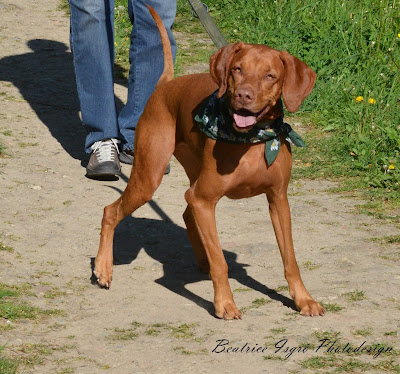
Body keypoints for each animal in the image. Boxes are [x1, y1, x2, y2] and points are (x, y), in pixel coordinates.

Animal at [94, 5, 324, 318]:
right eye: (238, 69)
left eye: (270, 76)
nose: (243, 95)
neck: (250, 141)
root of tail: (166, 83)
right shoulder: (205, 199)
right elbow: (221, 262)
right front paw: (225, 303)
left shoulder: (278, 199)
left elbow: (290, 259)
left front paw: (303, 299)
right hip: (149, 178)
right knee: (111, 211)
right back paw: (103, 268)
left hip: (192, 177)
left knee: (186, 211)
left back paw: (201, 258)